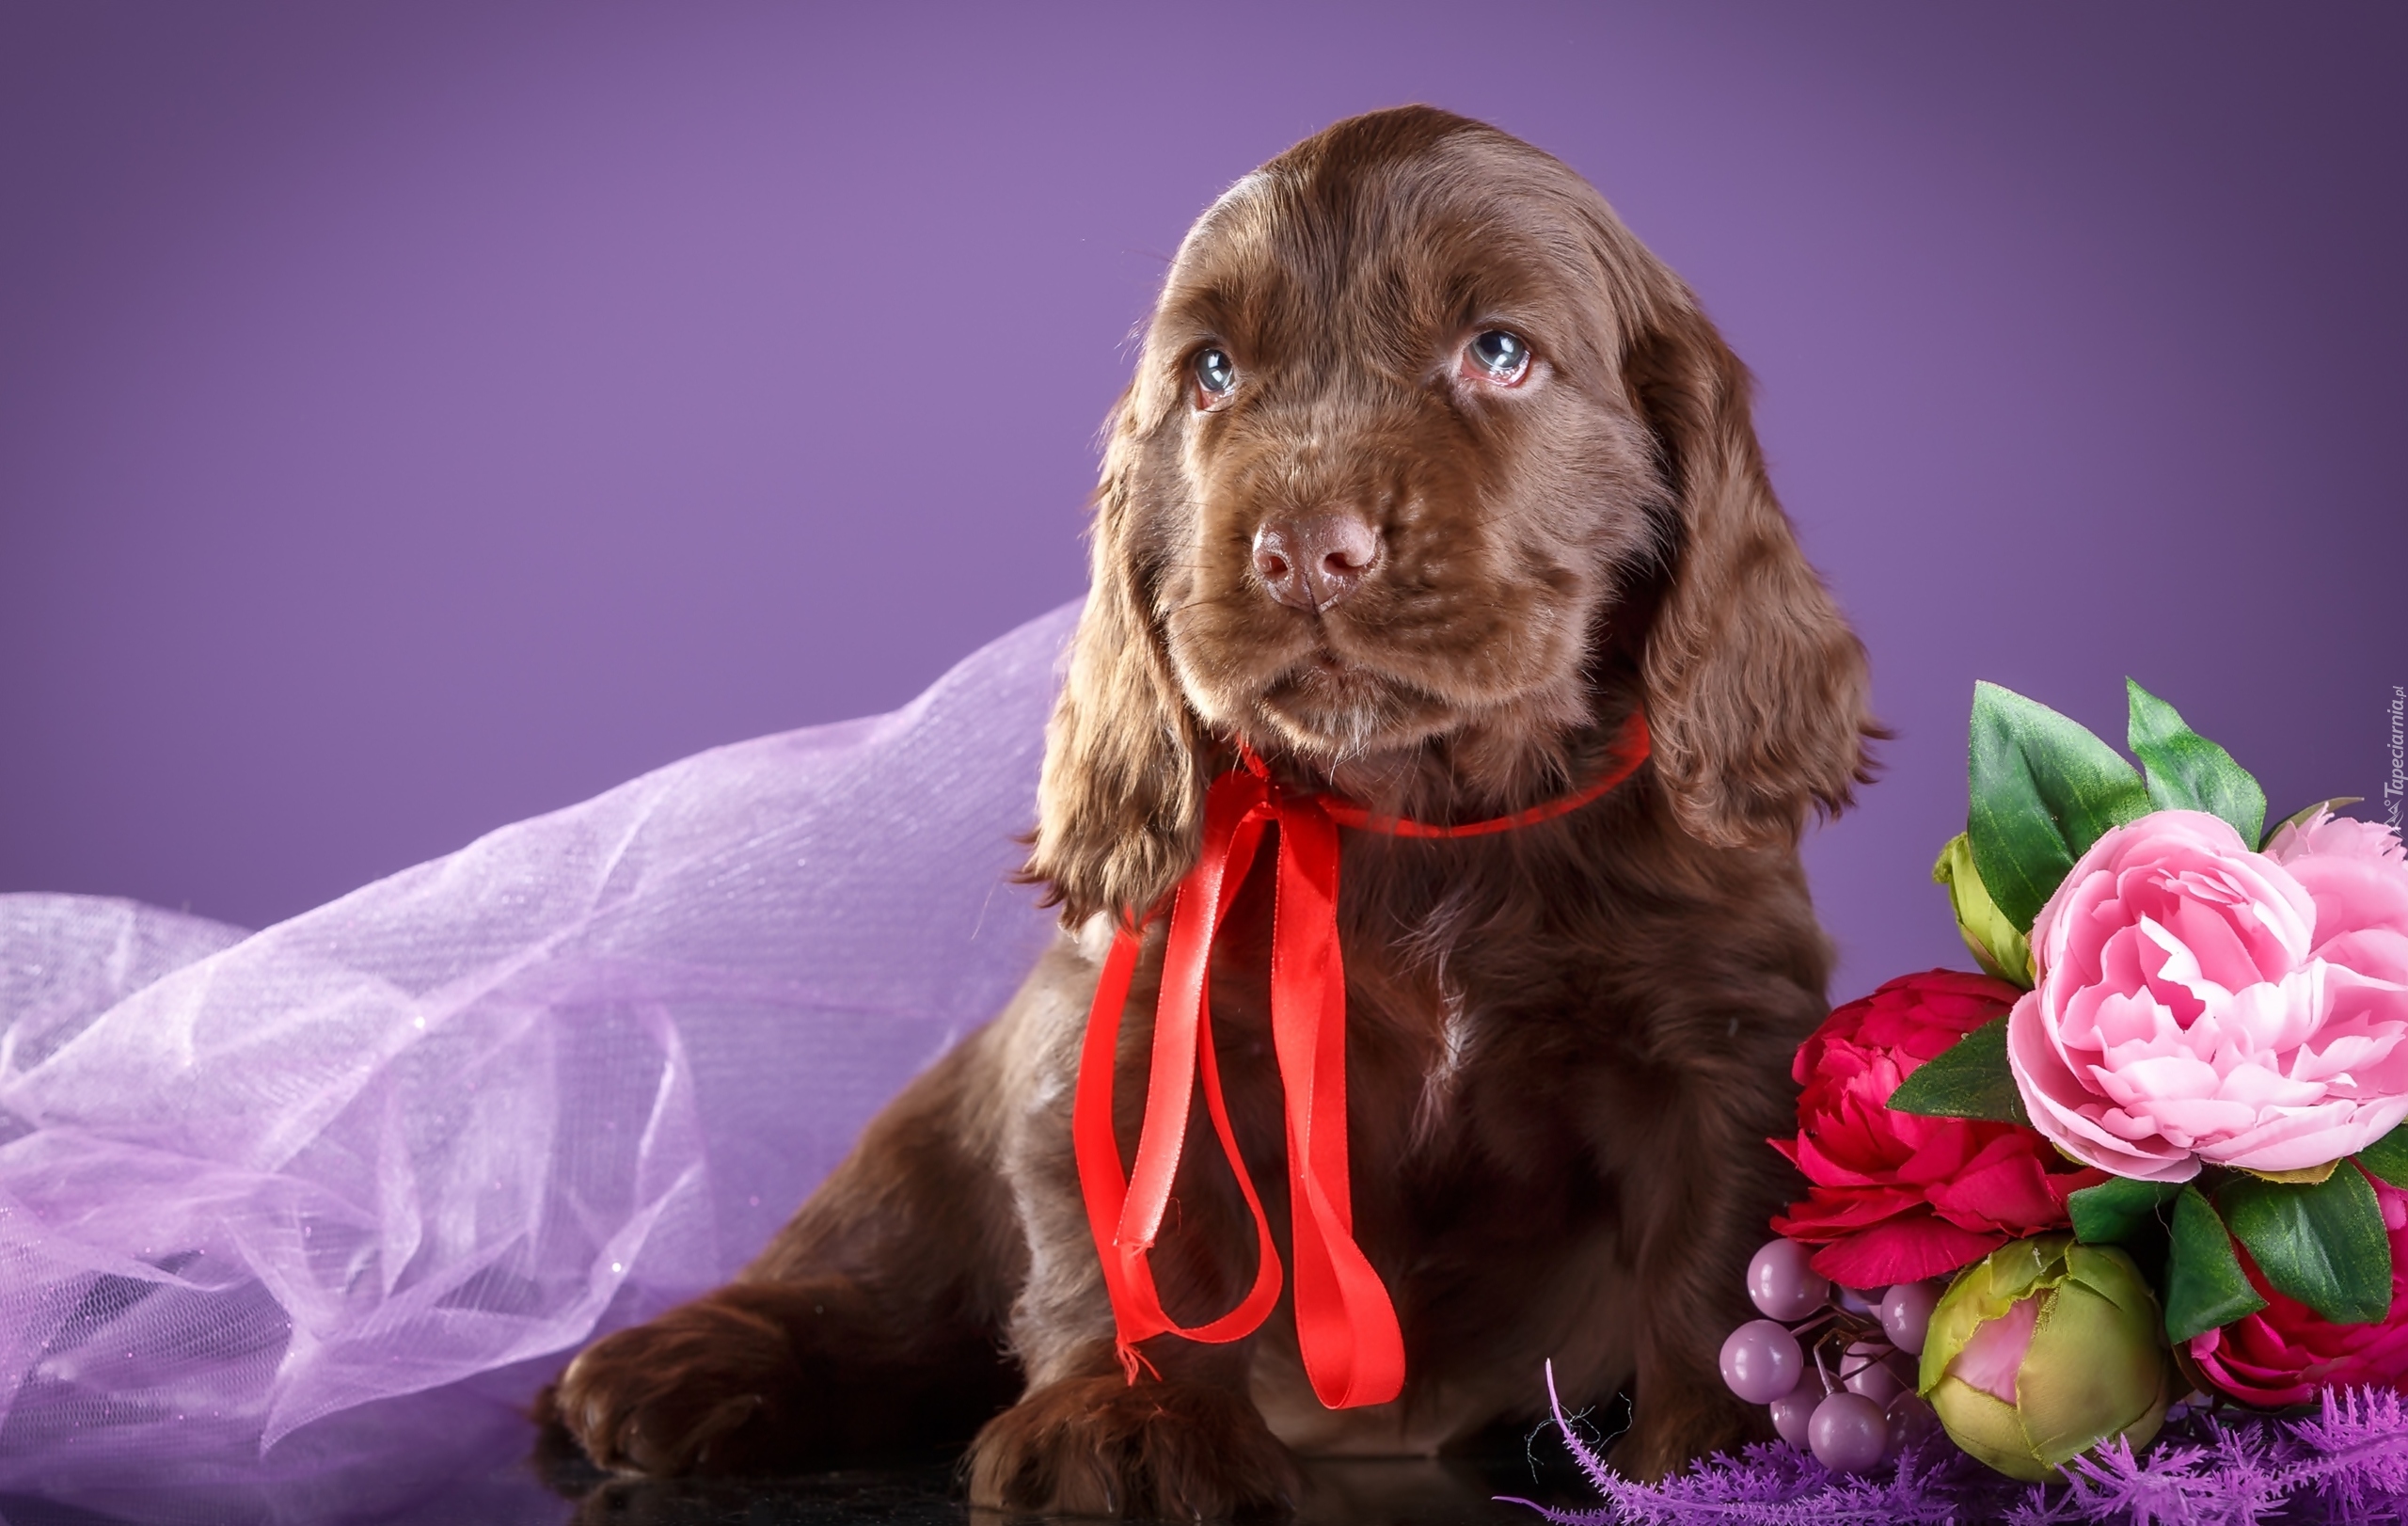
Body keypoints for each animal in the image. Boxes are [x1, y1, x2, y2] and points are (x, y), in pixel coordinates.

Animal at [551, 103, 1877, 1511]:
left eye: (1501, 351)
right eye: (1213, 374)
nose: (1303, 551)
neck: (1420, 816)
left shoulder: (1720, 1026)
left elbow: (1718, 1247)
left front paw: (1736, 1446)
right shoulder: (1138, 1012)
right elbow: (1145, 1237)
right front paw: (1128, 1420)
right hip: (924, 1139)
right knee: (874, 1268)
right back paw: (678, 1361)